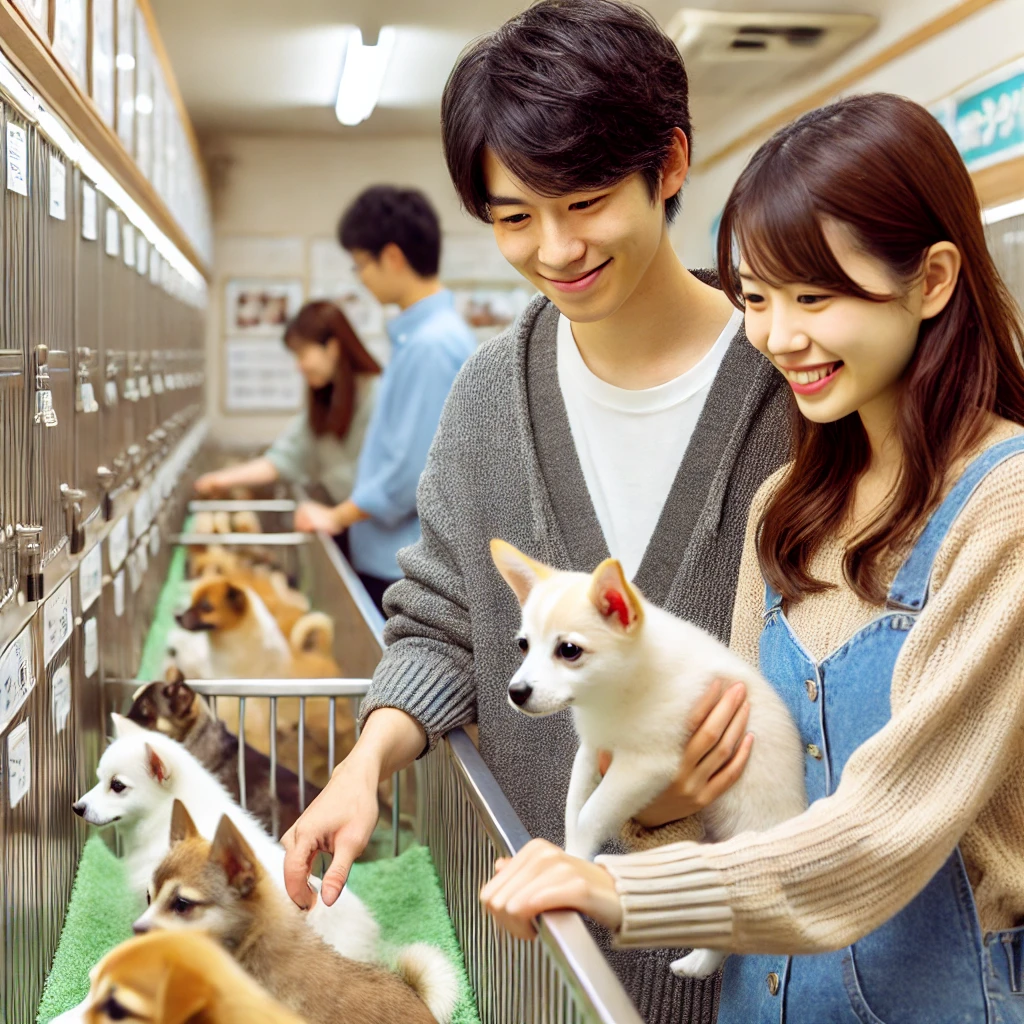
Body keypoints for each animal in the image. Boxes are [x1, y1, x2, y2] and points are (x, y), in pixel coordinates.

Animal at [489, 540, 806, 978]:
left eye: (568, 651)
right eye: (524, 645)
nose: (517, 692)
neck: (615, 693)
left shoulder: (643, 767)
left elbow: (593, 812)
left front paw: (575, 864)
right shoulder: (591, 751)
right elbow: (576, 808)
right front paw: (571, 854)